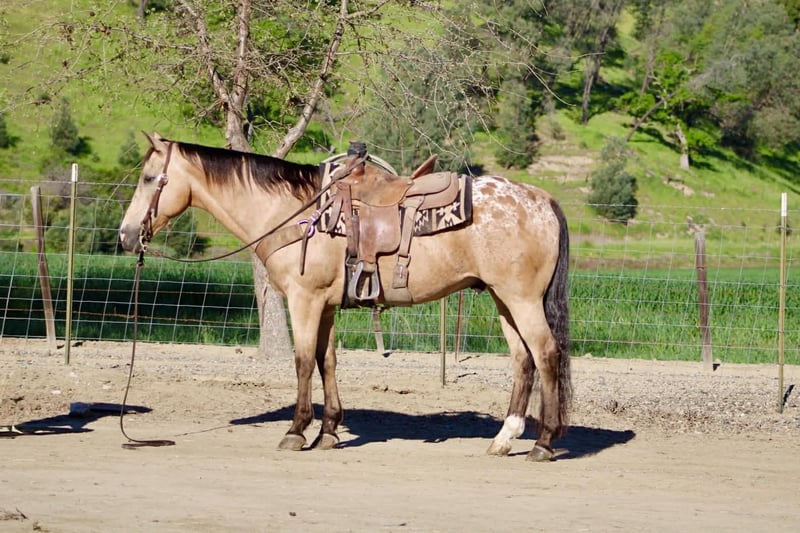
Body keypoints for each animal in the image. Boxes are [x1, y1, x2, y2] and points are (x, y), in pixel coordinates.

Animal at [118, 133, 572, 462]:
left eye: (148, 178)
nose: (125, 235)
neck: (297, 213)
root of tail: (543, 200)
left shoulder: (304, 300)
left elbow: (303, 362)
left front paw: (296, 430)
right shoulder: (326, 305)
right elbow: (327, 361)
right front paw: (329, 431)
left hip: (521, 300)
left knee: (546, 354)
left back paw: (543, 443)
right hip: (502, 299)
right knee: (523, 360)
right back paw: (504, 439)